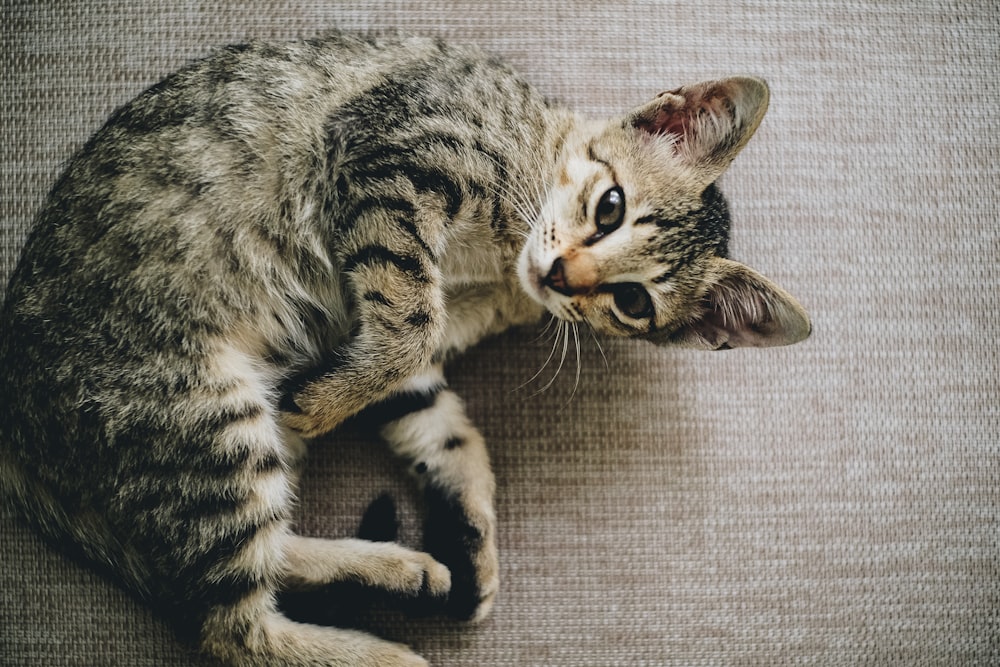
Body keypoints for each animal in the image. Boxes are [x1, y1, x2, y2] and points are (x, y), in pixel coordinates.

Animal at [0, 31, 808, 667]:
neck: (493, 266)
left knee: (262, 566)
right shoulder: (391, 152)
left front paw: (474, 531)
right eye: (610, 206)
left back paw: (409, 570)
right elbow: (410, 324)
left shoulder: (402, 332)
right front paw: (324, 404)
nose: (561, 275)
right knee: (229, 628)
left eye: (634, 301)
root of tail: (19, 438)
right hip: (204, 413)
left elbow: (443, 424)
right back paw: (386, 651)